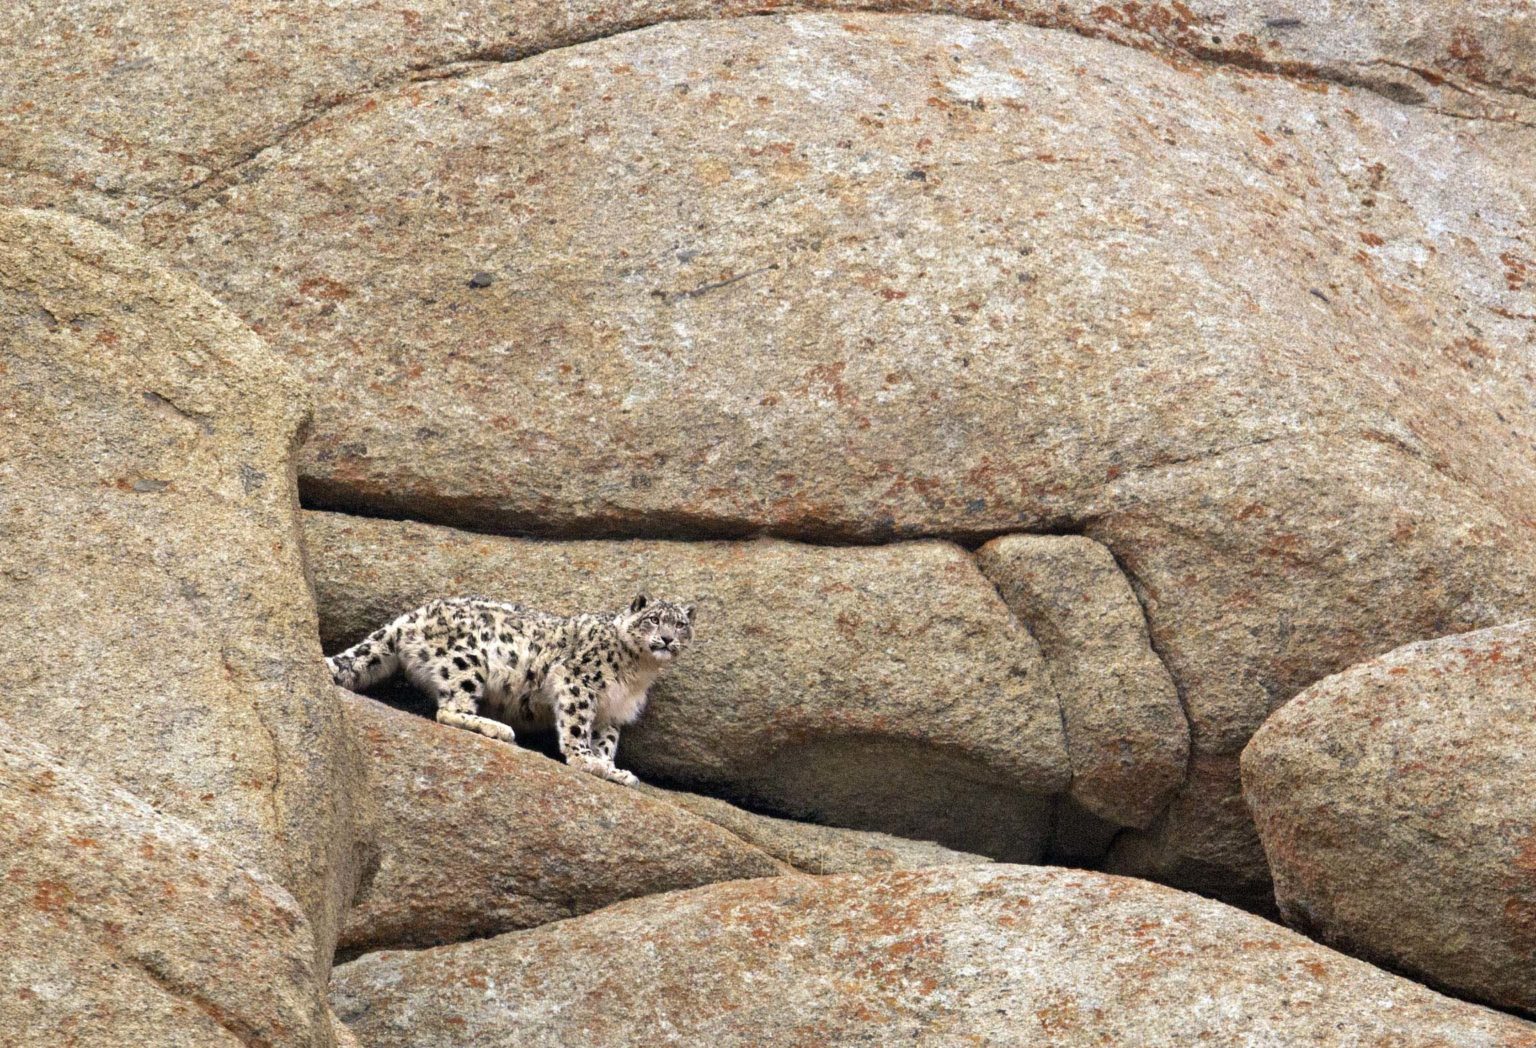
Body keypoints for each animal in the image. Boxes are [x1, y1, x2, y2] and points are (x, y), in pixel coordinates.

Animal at [336, 593, 703, 780]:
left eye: (680, 624)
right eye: (653, 619)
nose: (667, 639)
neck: (639, 671)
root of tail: (410, 617)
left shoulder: (613, 711)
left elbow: (606, 740)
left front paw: (611, 768)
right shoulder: (579, 682)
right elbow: (577, 725)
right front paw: (586, 760)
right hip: (467, 661)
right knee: (449, 709)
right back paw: (494, 727)